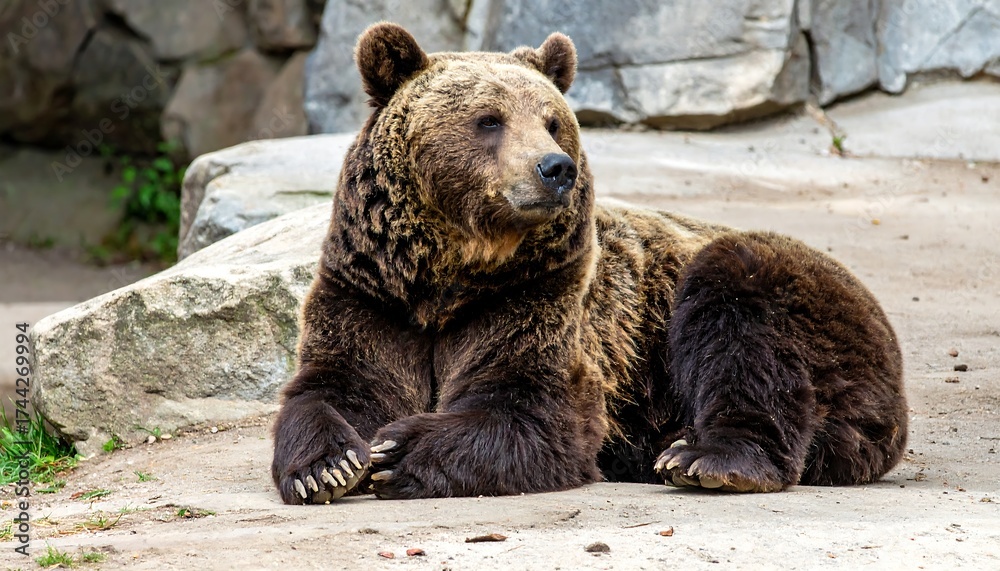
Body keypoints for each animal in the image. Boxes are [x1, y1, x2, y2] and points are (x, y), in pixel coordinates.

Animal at [270, 22, 908, 504]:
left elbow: (533, 405)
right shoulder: (373, 291)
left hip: (801, 315)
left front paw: (398, 449)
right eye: (489, 119)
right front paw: (325, 465)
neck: (449, 275)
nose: (555, 167)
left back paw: (704, 457)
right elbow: (337, 384)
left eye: (553, 121)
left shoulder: (537, 295)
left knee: (741, 312)